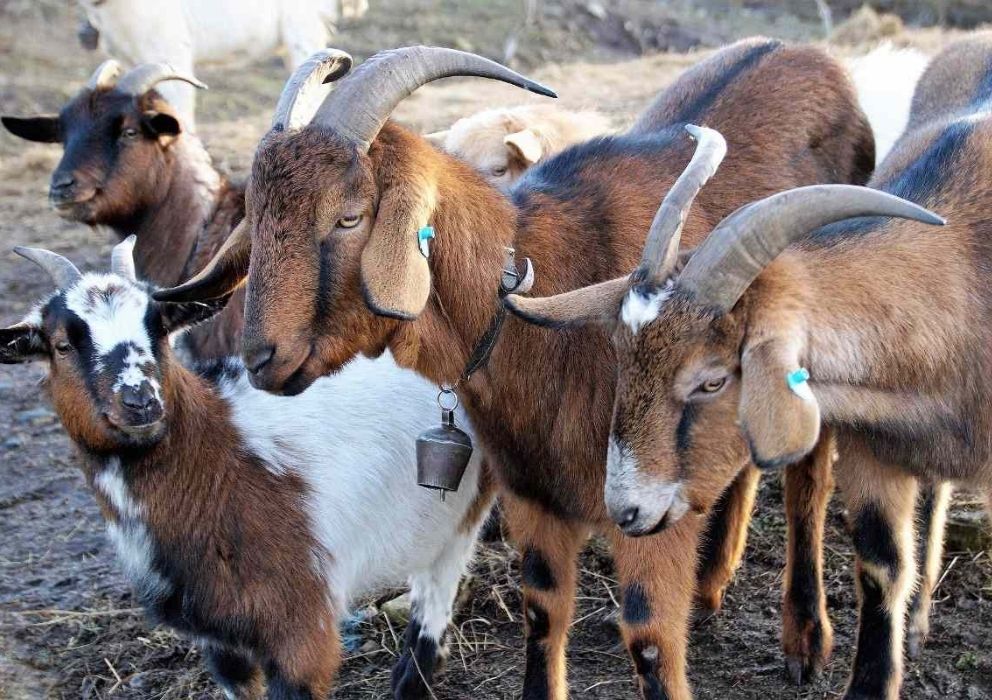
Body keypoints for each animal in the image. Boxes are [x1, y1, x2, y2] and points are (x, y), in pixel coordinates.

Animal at [0, 237, 492, 700]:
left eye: (159, 329)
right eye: (62, 345)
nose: (140, 401)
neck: (224, 460)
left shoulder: (301, 626)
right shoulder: (220, 639)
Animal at [157, 39, 876, 700]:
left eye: (348, 216)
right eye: (257, 217)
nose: (261, 357)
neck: (539, 304)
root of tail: (804, 52)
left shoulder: (650, 504)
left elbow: (648, 639)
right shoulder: (533, 492)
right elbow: (541, 611)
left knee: (809, 481)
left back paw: (805, 640)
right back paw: (711, 585)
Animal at [508, 32, 992, 700]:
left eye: (713, 379)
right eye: (621, 359)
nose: (626, 511)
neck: (962, 279)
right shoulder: (877, 450)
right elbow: (880, 569)